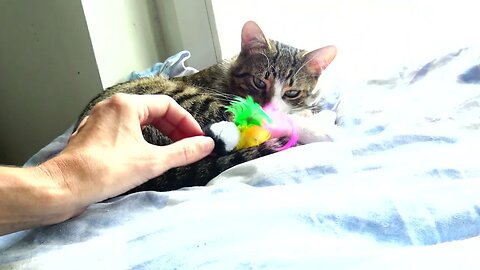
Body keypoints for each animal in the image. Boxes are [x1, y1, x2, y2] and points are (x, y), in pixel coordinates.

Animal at [77, 20, 336, 192]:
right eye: (258, 81)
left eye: (292, 92)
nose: (271, 106)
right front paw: (319, 126)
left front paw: (309, 110)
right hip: (174, 98)